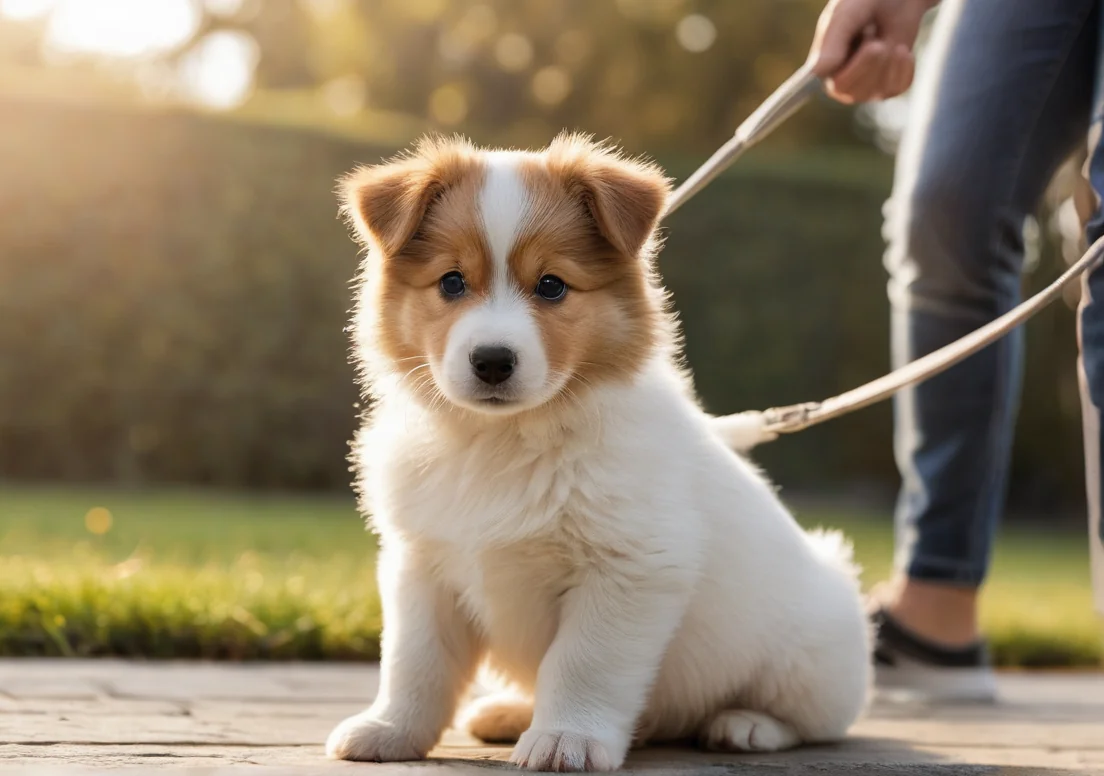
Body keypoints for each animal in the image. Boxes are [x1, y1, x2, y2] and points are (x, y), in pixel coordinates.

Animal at [324, 133, 869, 772]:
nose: (492, 361)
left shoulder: (629, 567)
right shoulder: (422, 565)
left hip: (810, 657)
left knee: (812, 720)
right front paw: (389, 730)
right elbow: (414, 662)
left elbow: (581, 663)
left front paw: (568, 739)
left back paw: (746, 724)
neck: (506, 441)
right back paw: (508, 712)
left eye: (552, 285)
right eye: (452, 282)